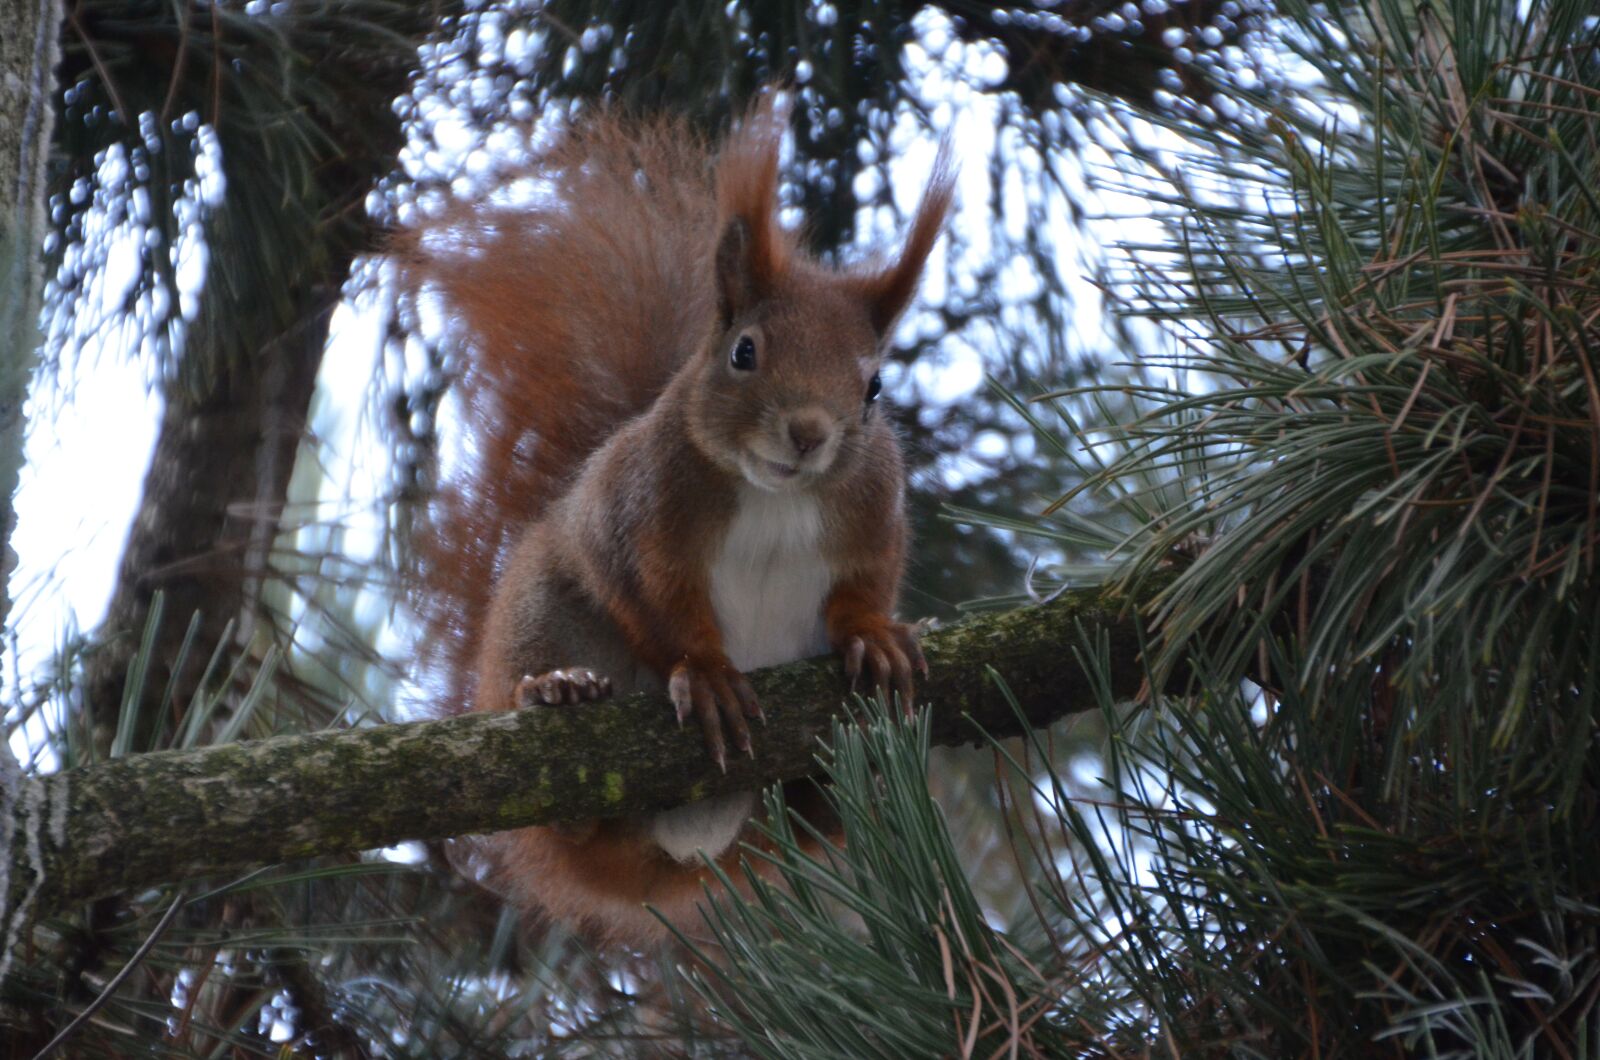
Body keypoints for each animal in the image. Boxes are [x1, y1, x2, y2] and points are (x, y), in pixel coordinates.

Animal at [400, 97, 954, 949]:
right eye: (744, 352)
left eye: (874, 387)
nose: (808, 433)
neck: (773, 498)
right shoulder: (638, 516)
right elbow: (656, 600)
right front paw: (707, 674)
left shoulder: (871, 518)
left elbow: (866, 588)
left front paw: (875, 637)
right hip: (546, 616)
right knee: (567, 814)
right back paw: (558, 692)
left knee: (818, 818)